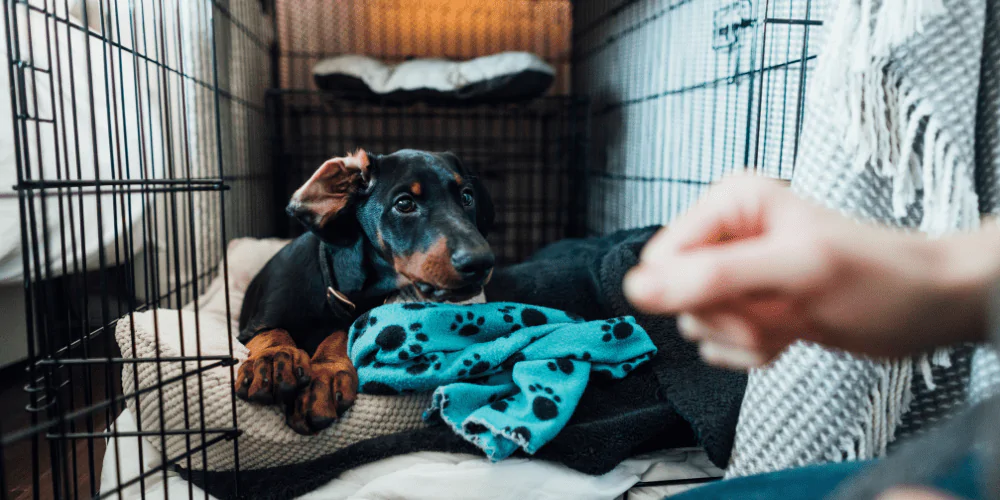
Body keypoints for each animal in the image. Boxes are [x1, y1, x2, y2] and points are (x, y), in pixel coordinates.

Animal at [238, 148, 496, 434]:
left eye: (467, 197)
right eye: (404, 204)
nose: (481, 262)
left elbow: (342, 334)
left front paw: (324, 376)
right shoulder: (250, 327)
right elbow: (271, 332)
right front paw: (274, 358)